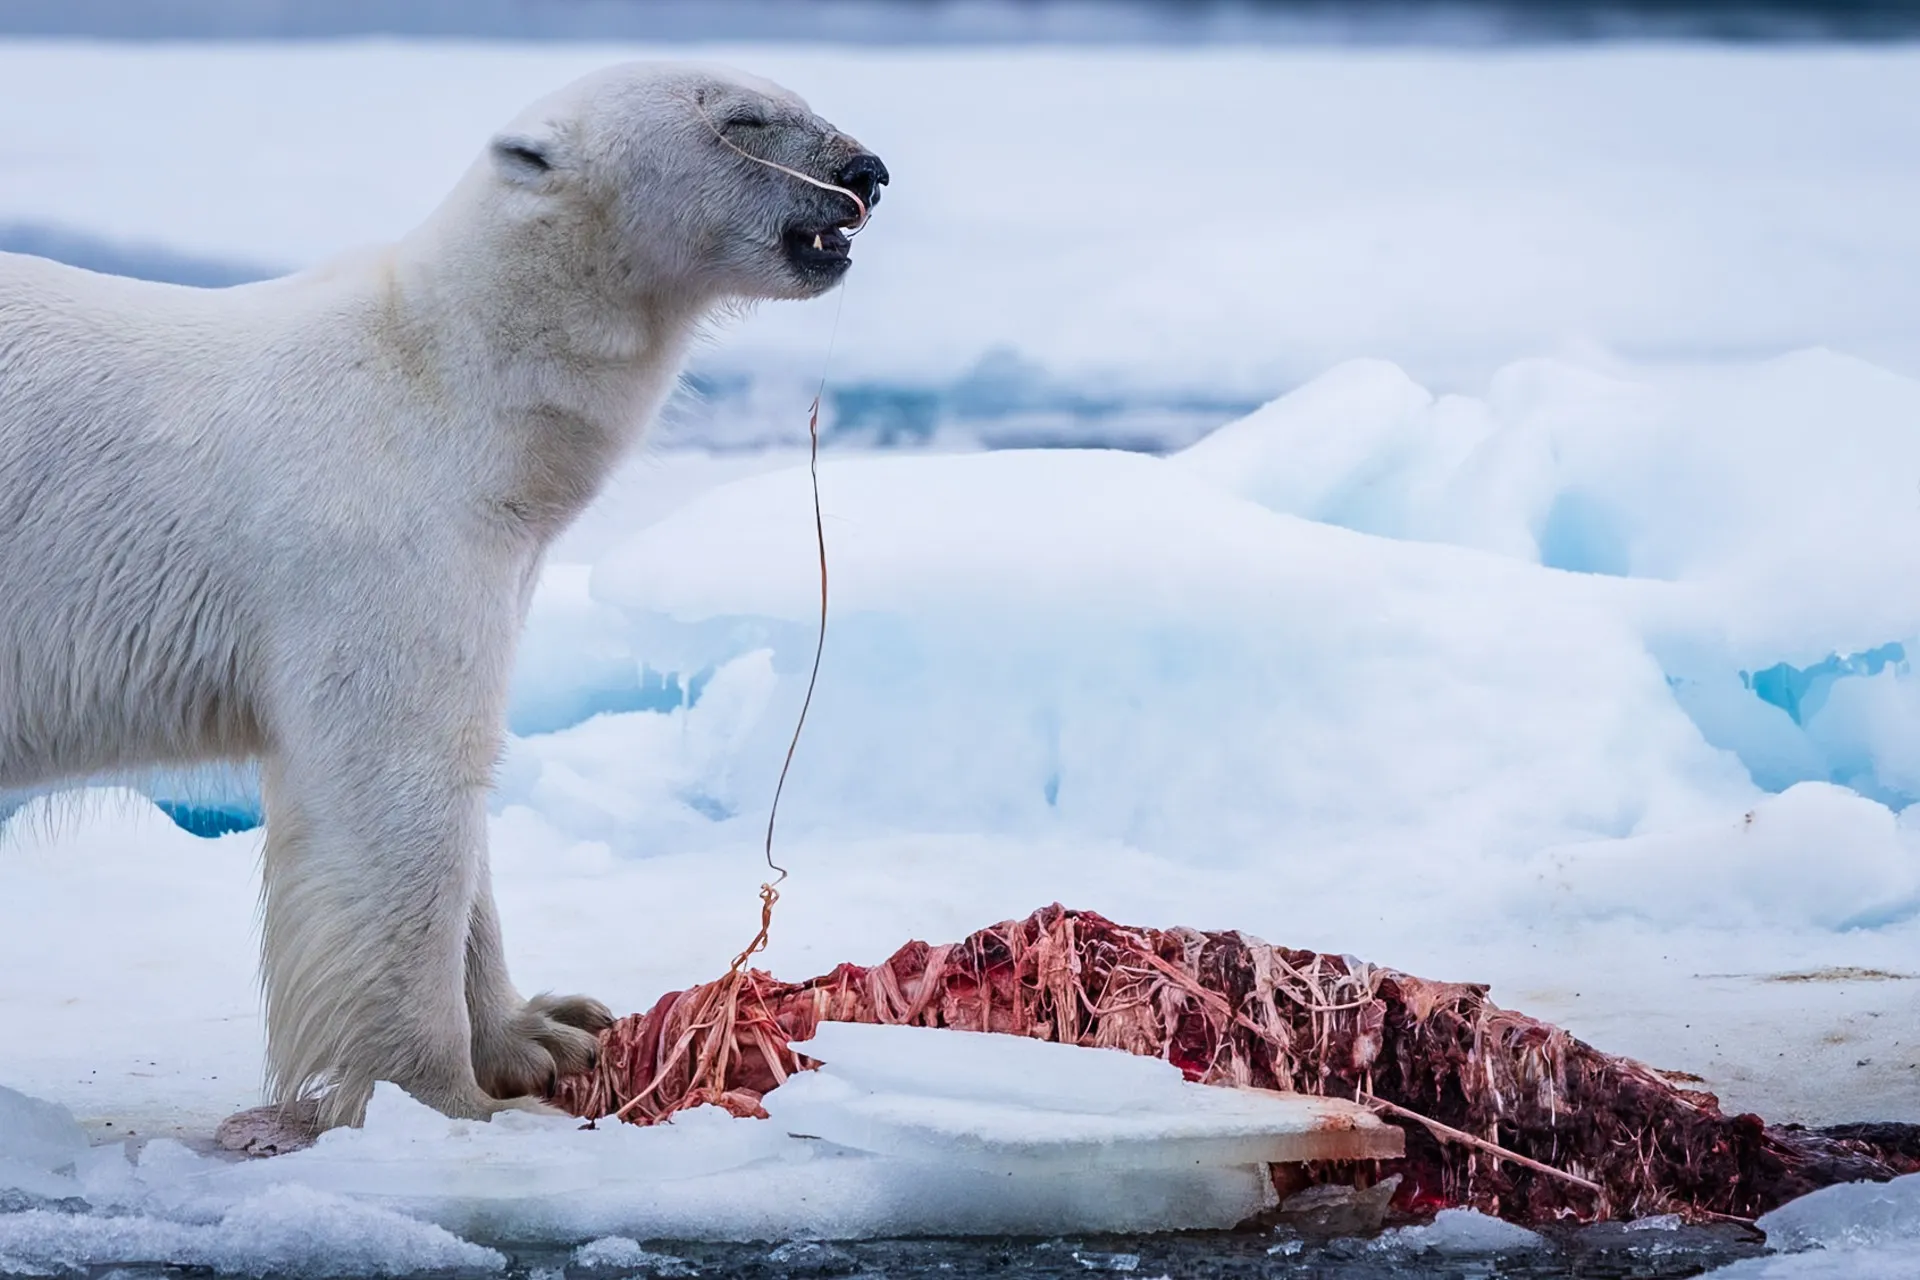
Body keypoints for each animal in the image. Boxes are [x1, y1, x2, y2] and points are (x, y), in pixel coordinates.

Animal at [0, 62, 887, 1130]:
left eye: (796, 96)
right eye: (743, 117)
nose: (866, 172)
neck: (452, 384)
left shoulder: (493, 557)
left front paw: (546, 1031)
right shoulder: (377, 538)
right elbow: (399, 784)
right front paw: (450, 1101)